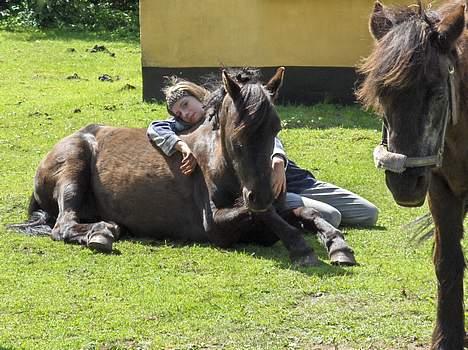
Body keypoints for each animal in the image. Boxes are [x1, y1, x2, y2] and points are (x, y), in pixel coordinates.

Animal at [10, 68, 354, 268]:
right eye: (237, 135)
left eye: (276, 128)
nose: (261, 193)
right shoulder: (217, 226)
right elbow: (263, 215)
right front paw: (303, 248)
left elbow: (306, 213)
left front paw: (337, 245)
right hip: (73, 167)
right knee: (64, 225)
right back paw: (101, 232)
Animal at [356, 1, 466, 348]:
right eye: (381, 95)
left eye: (438, 95)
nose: (403, 185)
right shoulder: (442, 191)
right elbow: (447, 263)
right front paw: (448, 337)